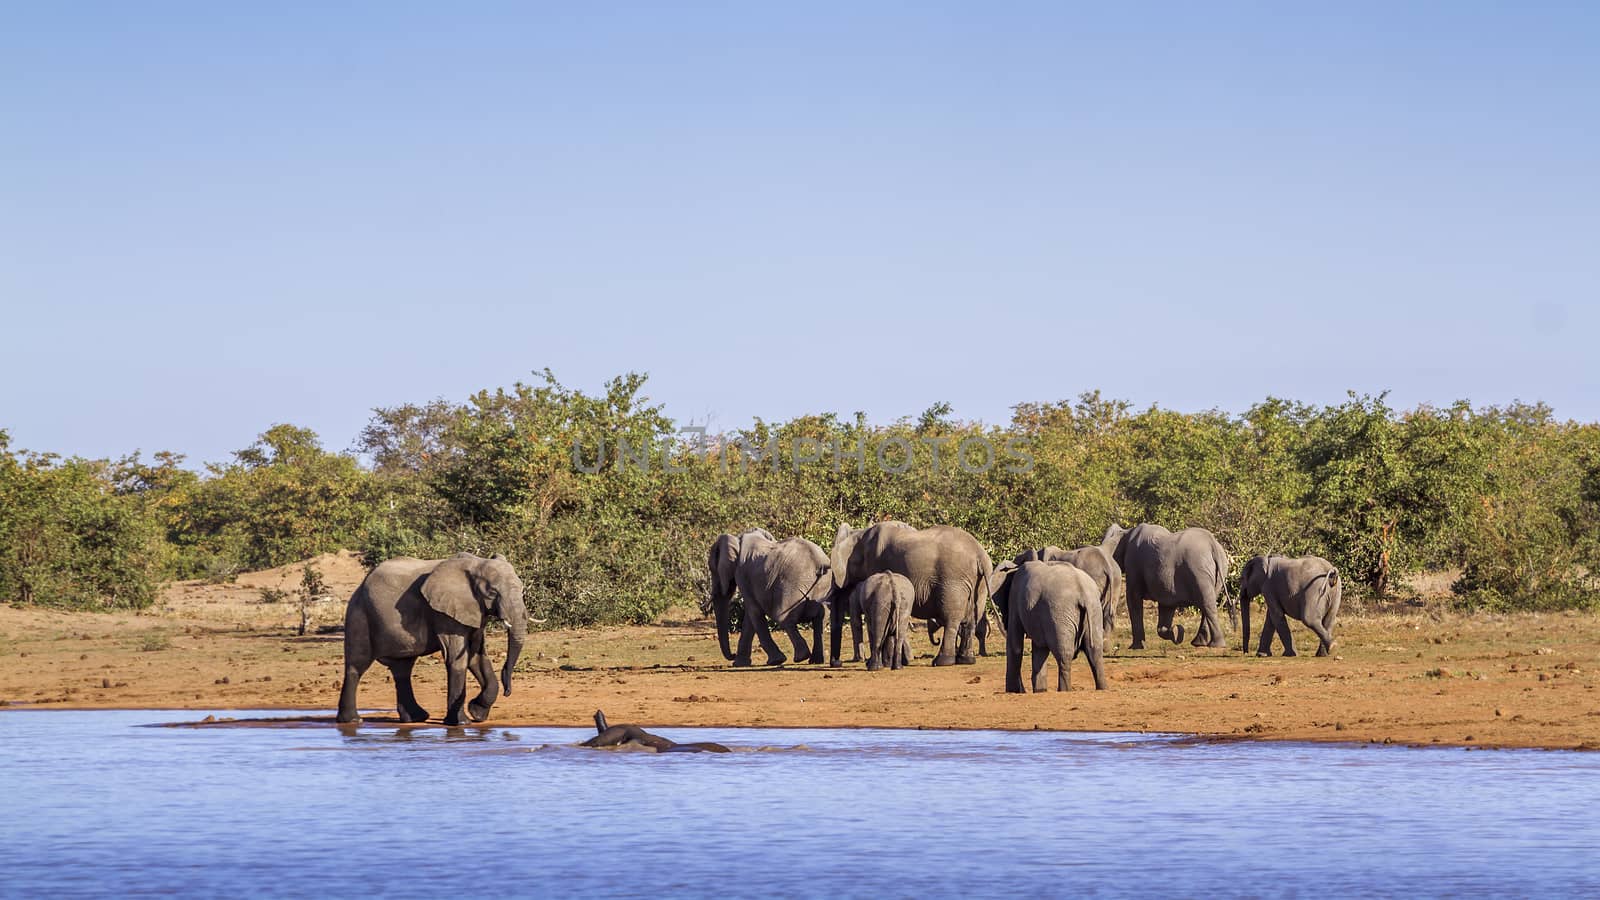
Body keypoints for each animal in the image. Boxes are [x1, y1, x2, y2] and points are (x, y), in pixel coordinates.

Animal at [340, 550, 528, 723]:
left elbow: (477, 658)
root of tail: (361, 584)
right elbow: (457, 659)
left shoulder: (475, 611)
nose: (508, 691)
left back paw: (415, 718)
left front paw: (477, 713)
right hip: (359, 614)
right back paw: (352, 721)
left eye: (522, 589)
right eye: (492, 592)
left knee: (402, 668)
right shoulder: (444, 613)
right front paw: (461, 722)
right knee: (357, 665)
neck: (476, 563)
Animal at [707, 525, 832, 666]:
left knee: (782, 616)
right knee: (820, 619)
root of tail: (819, 563)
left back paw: (801, 657)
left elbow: (754, 611)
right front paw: (740, 664)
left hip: (793, 584)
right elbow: (751, 616)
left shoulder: (742, 574)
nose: (732, 655)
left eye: (712, 569)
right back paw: (816, 661)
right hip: (824, 585)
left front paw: (776, 661)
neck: (737, 539)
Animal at [832, 518, 992, 666]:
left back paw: (941, 662)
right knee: (971, 619)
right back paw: (966, 660)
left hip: (953, 581)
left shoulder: (875, 563)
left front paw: (888, 663)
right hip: (979, 582)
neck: (859, 534)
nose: (837, 662)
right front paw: (902, 661)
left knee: (951, 619)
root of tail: (979, 555)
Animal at [992, 560, 1107, 695]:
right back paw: (1102, 688)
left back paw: (1064, 691)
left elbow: (1015, 644)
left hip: (1059, 613)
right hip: (1094, 609)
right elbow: (1039, 648)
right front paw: (1040, 691)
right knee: (1095, 652)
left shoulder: (1014, 598)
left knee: (1064, 654)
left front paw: (1014, 691)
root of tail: (1082, 591)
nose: (1022, 690)